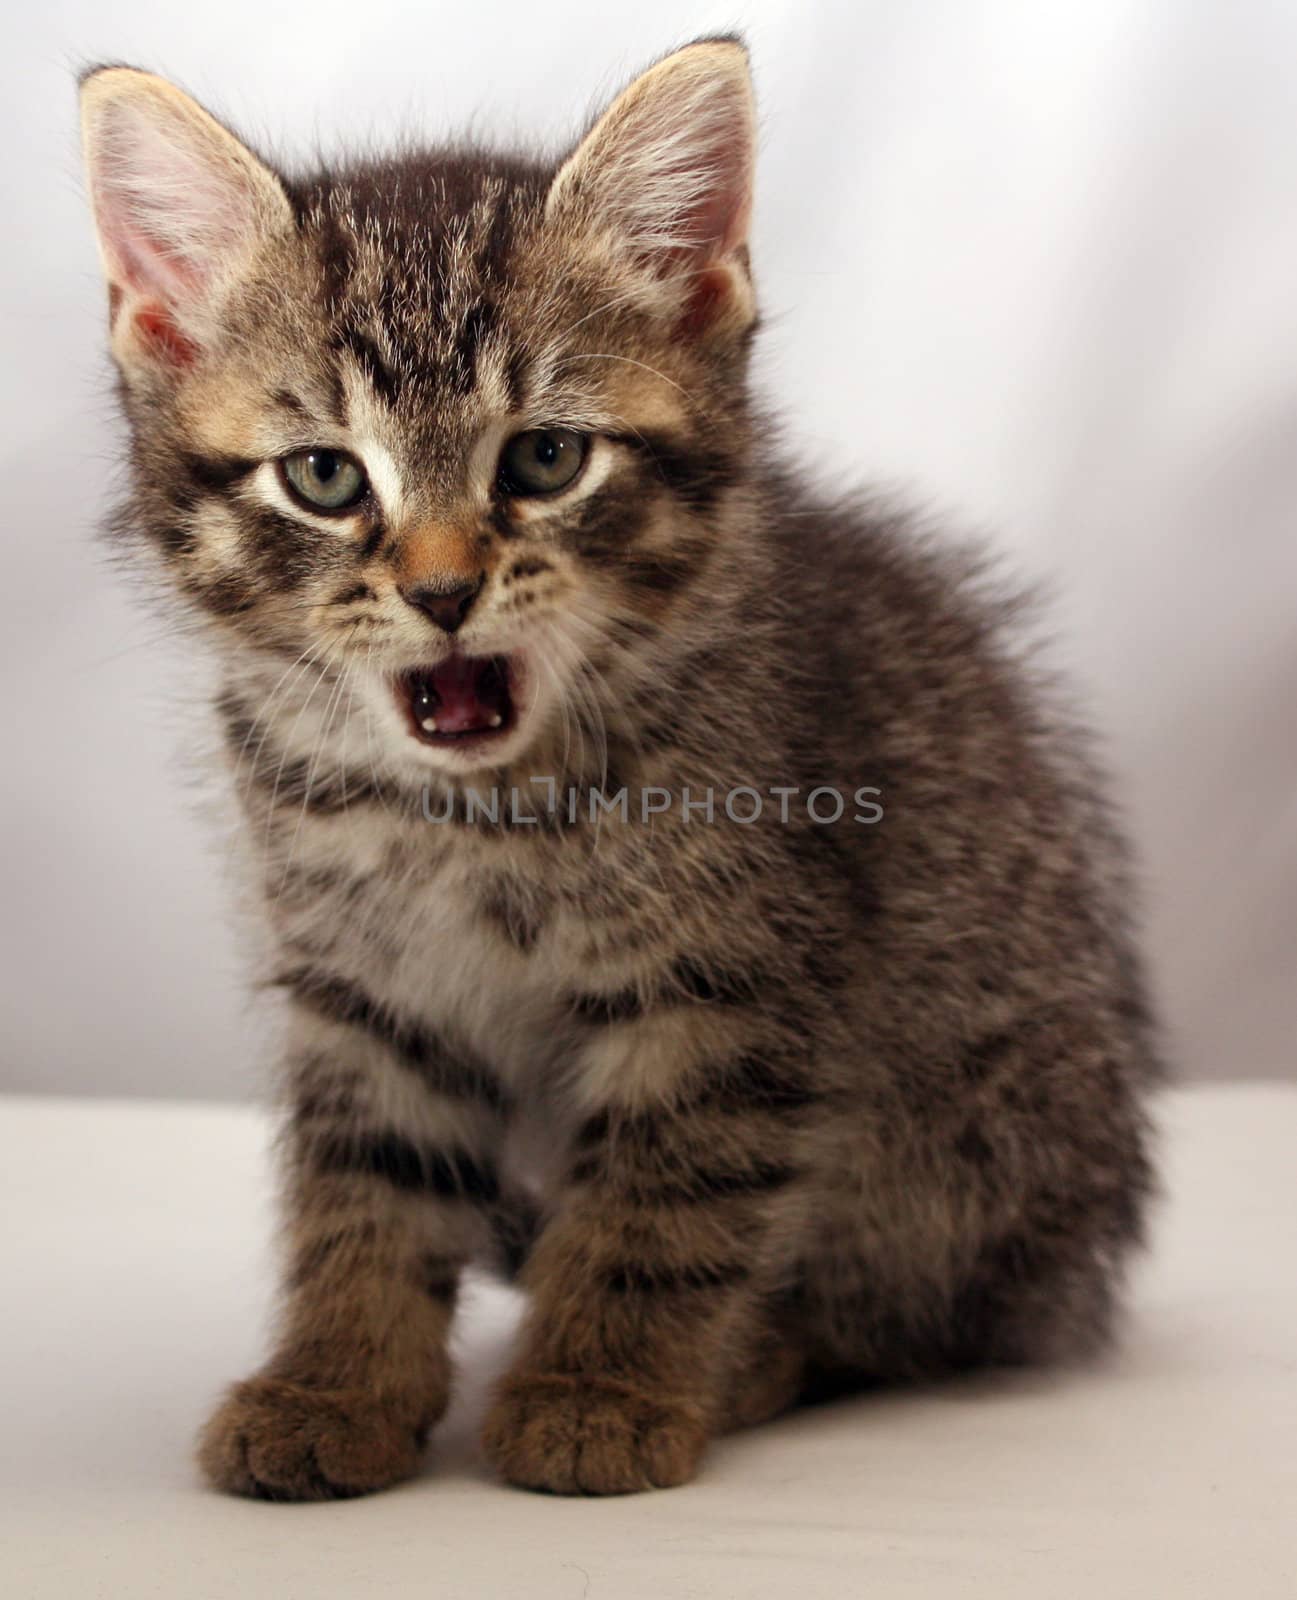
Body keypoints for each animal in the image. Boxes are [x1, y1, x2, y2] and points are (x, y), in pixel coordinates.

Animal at [78, 37, 1157, 1491]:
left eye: (545, 456)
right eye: (324, 478)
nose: (441, 592)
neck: (473, 817)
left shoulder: (731, 987)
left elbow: (665, 1201)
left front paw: (596, 1386)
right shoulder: (369, 990)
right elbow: (365, 1191)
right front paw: (336, 1382)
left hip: (975, 1136)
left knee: (913, 1317)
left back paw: (756, 1357)